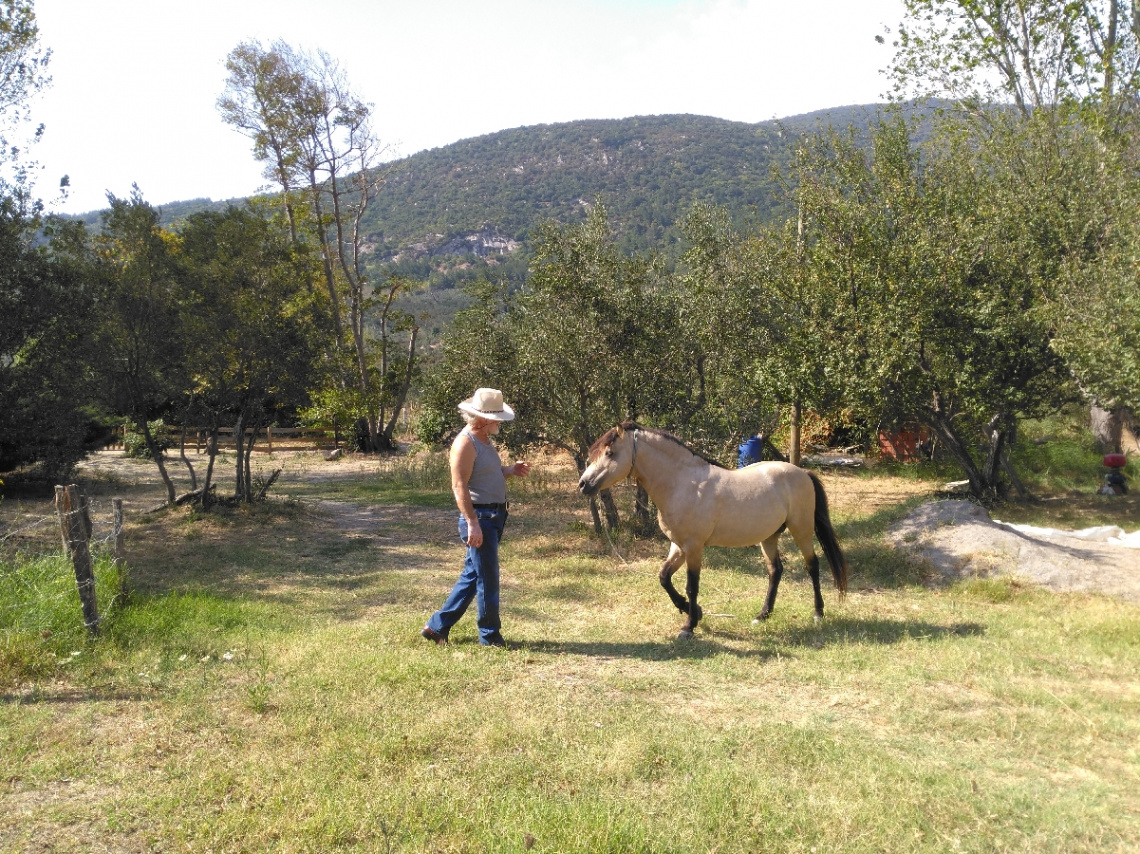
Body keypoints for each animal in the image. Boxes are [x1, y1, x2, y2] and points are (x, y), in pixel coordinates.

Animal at [579, 424, 848, 638]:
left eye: (610, 453)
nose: (583, 485)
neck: (683, 483)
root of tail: (802, 473)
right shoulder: (678, 545)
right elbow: (664, 577)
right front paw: (692, 611)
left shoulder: (693, 547)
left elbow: (692, 586)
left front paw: (688, 626)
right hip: (769, 536)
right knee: (775, 571)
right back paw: (762, 615)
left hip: (801, 529)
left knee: (812, 566)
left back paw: (818, 613)